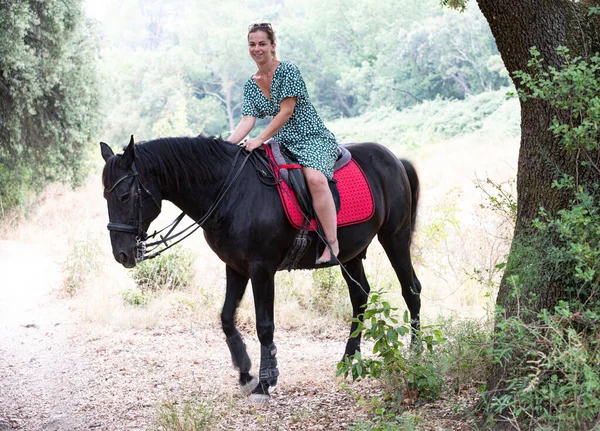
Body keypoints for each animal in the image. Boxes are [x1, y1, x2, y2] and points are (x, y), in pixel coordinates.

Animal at [101, 136, 420, 404]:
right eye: (106, 197)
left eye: (125, 196)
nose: (122, 254)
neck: (231, 191)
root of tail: (394, 159)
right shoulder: (235, 267)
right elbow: (227, 318)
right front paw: (245, 372)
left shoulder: (261, 269)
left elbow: (264, 325)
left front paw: (266, 381)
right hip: (350, 254)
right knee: (360, 296)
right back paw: (349, 358)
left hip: (395, 237)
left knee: (411, 290)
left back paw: (415, 351)